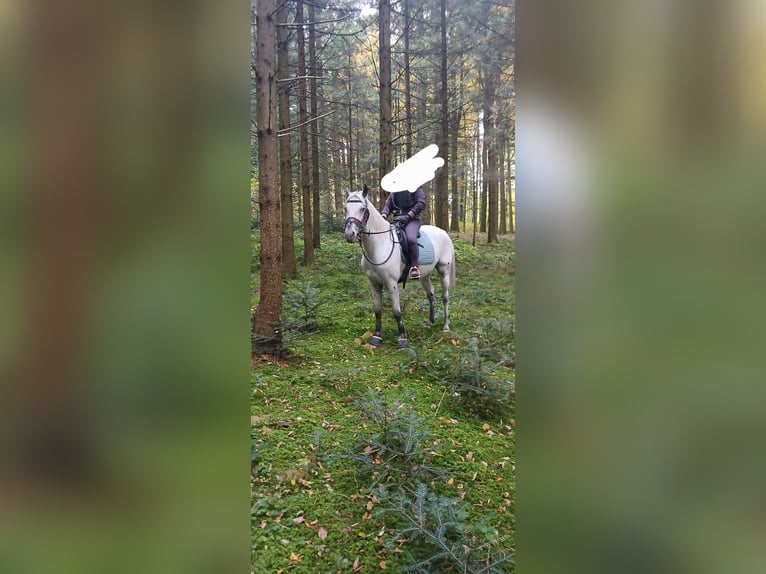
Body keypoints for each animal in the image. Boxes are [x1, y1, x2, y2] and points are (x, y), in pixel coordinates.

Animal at [343, 185, 455, 349]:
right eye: (346, 208)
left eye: (362, 209)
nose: (349, 235)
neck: (380, 245)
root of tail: (443, 232)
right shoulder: (373, 283)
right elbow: (378, 310)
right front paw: (376, 337)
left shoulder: (391, 284)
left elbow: (396, 311)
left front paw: (402, 339)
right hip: (425, 275)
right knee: (431, 294)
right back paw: (430, 322)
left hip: (443, 271)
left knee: (445, 297)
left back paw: (446, 326)